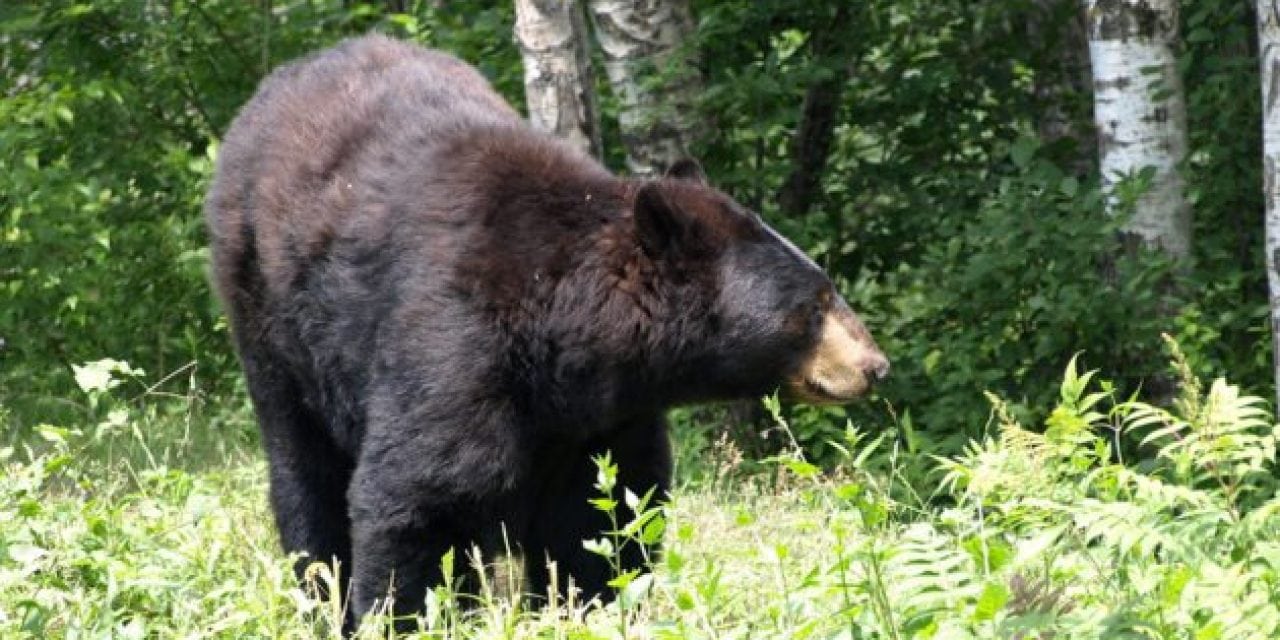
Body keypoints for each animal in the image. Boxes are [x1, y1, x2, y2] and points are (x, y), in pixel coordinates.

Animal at [204, 33, 885, 624]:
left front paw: (592, 605)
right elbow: (421, 493)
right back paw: (320, 589)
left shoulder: (602, 414)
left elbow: (602, 514)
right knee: (304, 468)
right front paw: (400, 614)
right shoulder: (455, 342)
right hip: (270, 316)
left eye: (825, 288)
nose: (875, 366)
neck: (563, 331)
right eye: (814, 304)